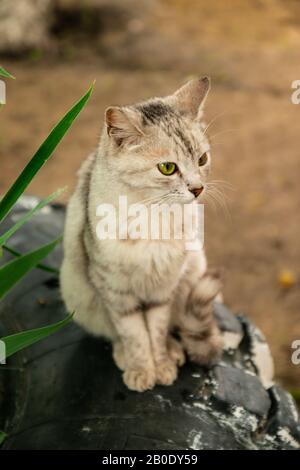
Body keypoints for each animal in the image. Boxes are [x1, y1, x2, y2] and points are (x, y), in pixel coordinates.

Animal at [60, 77, 223, 392]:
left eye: (202, 159)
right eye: (168, 168)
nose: (198, 189)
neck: (153, 214)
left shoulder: (164, 289)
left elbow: (156, 330)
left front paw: (161, 364)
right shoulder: (116, 291)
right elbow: (134, 334)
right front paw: (141, 369)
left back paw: (173, 350)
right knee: (113, 333)